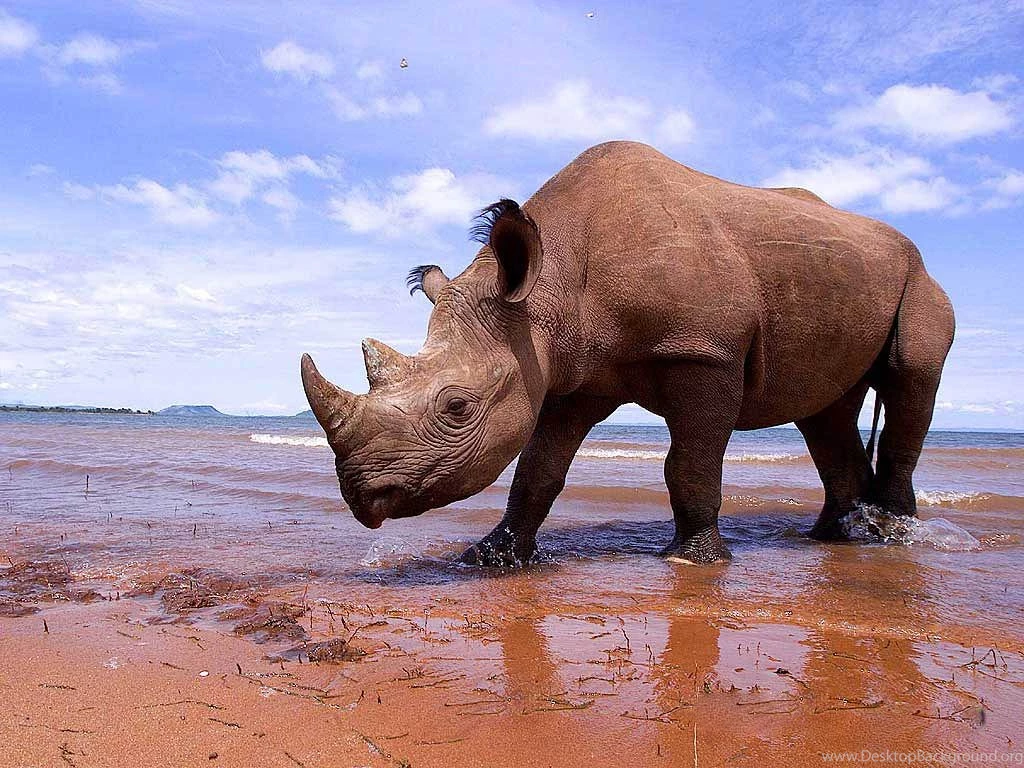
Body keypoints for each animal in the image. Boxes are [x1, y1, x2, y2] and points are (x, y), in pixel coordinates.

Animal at [301, 141, 954, 566]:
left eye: (457, 407)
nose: (361, 497)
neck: (548, 287)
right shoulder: (569, 371)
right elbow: (538, 468)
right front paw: (492, 557)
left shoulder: (703, 352)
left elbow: (690, 463)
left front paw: (698, 559)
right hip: (841, 277)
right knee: (824, 410)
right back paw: (836, 539)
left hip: (919, 278)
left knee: (910, 379)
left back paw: (893, 535)